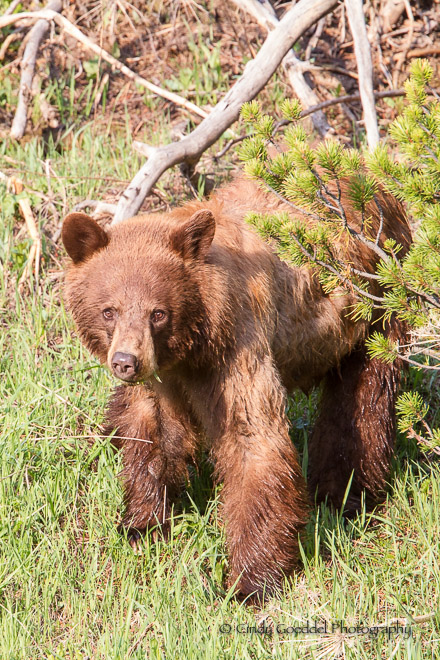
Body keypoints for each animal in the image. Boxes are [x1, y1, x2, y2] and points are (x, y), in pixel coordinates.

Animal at [62, 178, 412, 600]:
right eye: (109, 310)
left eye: (158, 312)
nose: (126, 361)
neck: (194, 343)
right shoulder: (164, 379)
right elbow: (153, 430)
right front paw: (142, 523)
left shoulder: (237, 345)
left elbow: (252, 436)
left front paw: (251, 580)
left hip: (378, 303)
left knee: (364, 399)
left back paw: (345, 495)